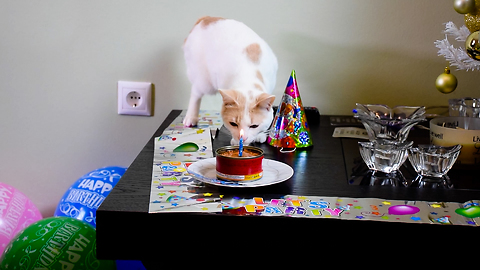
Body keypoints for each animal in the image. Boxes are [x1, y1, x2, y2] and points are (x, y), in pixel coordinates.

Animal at [182, 15, 278, 144]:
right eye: (233, 124)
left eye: (254, 126)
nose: (243, 138)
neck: (248, 76)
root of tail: (206, 18)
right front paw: (236, 141)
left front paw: (260, 135)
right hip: (204, 81)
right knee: (195, 92)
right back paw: (191, 117)